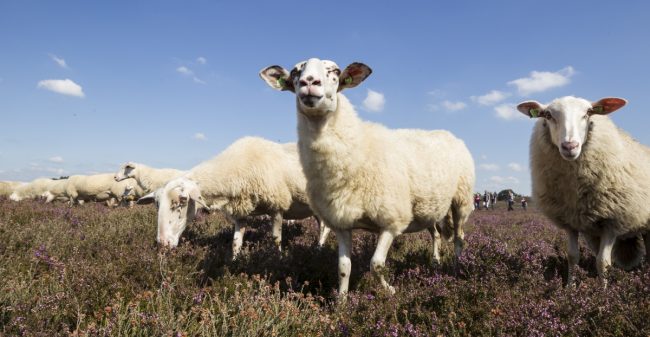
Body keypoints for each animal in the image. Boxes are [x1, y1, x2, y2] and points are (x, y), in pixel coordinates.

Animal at [137, 136, 330, 258]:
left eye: (182, 200)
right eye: (156, 204)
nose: (163, 244)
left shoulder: (277, 206)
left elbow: (276, 241)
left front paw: (278, 261)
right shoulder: (240, 212)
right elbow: (236, 243)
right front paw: (235, 263)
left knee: (325, 228)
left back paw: (318, 251)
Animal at [260, 58, 476, 294]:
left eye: (335, 71)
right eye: (295, 72)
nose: (309, 82)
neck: (359, 148)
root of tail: (449, 134)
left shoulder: (392, 220)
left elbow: (376, 264)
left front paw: (390, 291)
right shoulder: (341, 222)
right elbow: (343, 267)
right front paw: (341, 299)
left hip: (461, 201)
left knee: (459, 239)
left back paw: (455, 268)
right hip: (428, 207)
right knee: (436, 234)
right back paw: (436, 262)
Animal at [516, 96, 648, 284]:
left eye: (588, 113)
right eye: (548, 115)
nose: (569, 146)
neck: (575, 191)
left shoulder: (612, 222)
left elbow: (603, 262)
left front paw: (603, 290)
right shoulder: (570, 222)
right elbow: (572, 257)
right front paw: (569, 287)